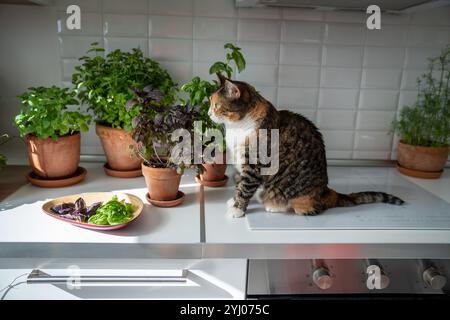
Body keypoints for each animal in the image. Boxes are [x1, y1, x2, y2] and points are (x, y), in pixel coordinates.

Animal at [208, 74, 404, 218]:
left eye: (217, 105)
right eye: (210, 102)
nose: (209, 113)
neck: (237, 127)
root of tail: (325, 192)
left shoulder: (254, 164)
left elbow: (245, 188)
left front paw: (237, 209)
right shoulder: (241, 164)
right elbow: (238, 184)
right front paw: (233, 201)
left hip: (298, 198)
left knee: (311, 209)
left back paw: (275, 206)